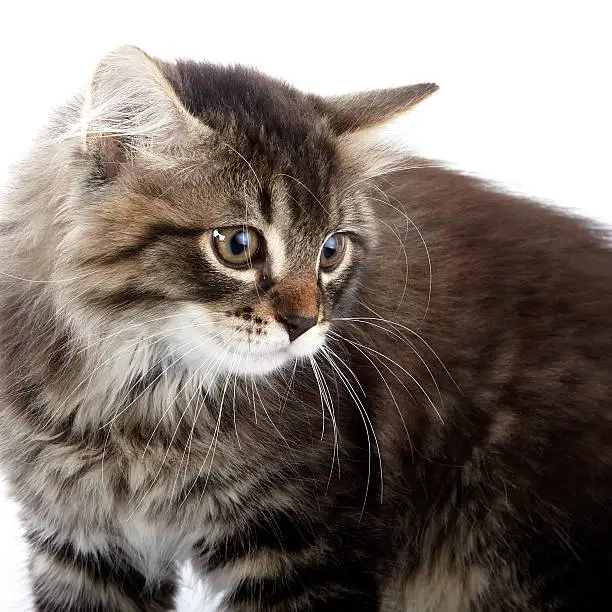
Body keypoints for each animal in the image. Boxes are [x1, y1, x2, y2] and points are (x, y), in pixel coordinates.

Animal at [0, 44, 608, 612]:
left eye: (331, 251)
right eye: (237, 245)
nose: (303, 323)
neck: (140, 405)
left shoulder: (304, 536)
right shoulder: (80, 544)